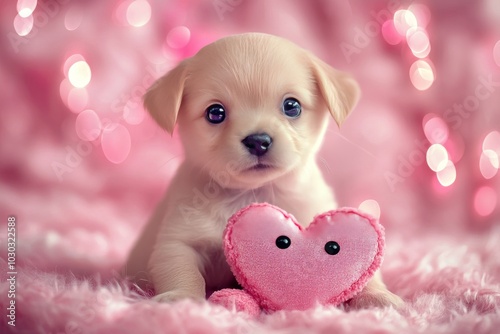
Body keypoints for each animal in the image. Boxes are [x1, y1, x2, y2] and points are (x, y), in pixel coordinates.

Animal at [125, 32, 402, 310]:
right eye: (215, 113)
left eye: (292, 106)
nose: (258, 140)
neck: (253, 193)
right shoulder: (177, 241)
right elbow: (182, 271)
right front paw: (180, 298)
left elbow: (366, 272)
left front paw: (379, 296)